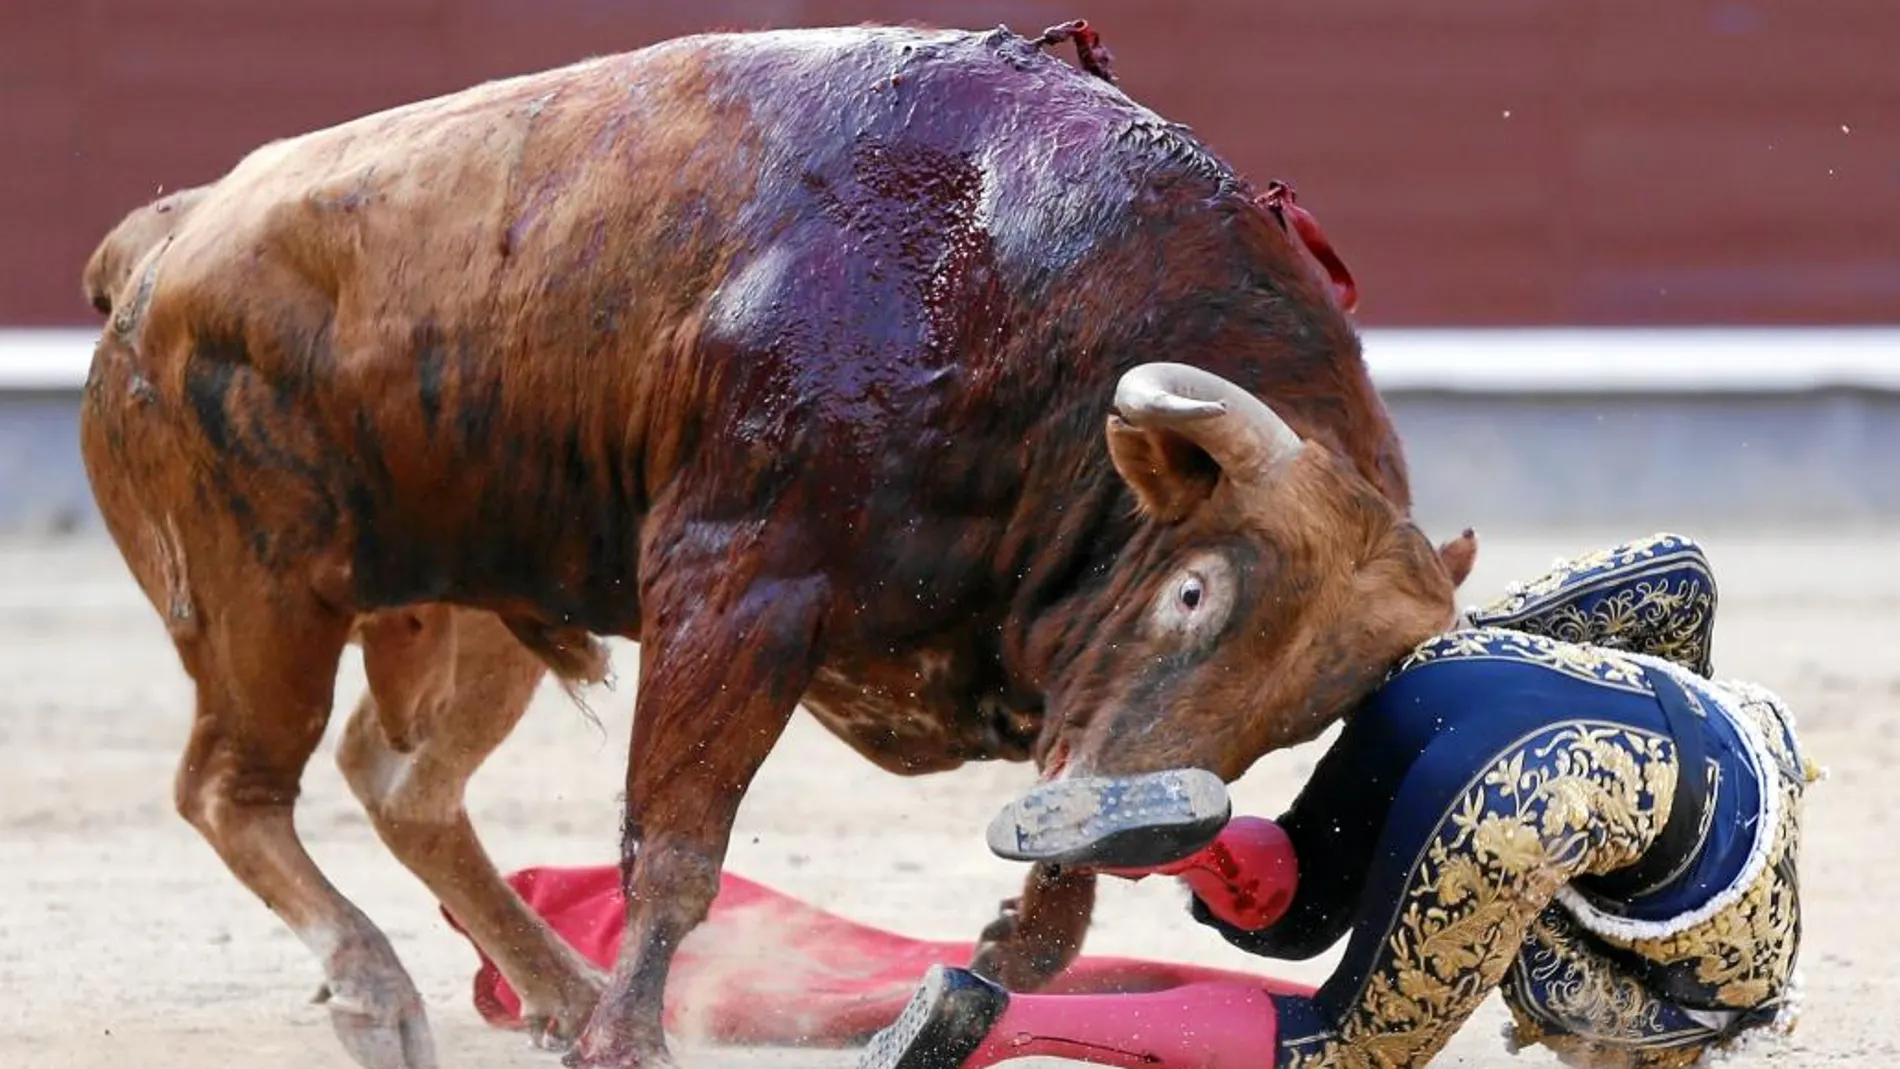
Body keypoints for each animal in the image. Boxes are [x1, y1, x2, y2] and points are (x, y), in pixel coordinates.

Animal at [77, 20, 1466, 1069]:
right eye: (1190, 592)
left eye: (1305, 715)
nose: (1141, 837)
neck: (1017, 301)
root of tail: (168, 236)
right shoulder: (733, 582)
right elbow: (678, 848)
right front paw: (629, 1044)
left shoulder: (1066, 724)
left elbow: (1057, 875)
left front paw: (988, 963)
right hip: (261, 599)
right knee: (231, 789)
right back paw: (387, 995)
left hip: (464, 607)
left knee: (402, 782)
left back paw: (551, 988)